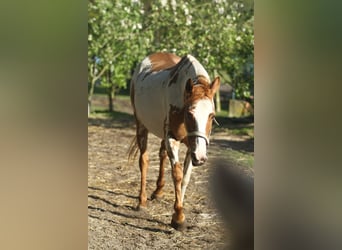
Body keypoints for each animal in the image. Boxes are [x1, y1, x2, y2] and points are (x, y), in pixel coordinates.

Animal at [128, 52, 219, 230]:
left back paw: (158, 191)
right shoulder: (172, 138)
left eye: (212, 116)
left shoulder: (192, 146)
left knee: (162, 154)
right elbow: (177, 174)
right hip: (141, 124)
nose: (201, 157)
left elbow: (186, 177)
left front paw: (178, 212)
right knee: (144, 161)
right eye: (190, 113)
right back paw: (141, 201)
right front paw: (178, 218)